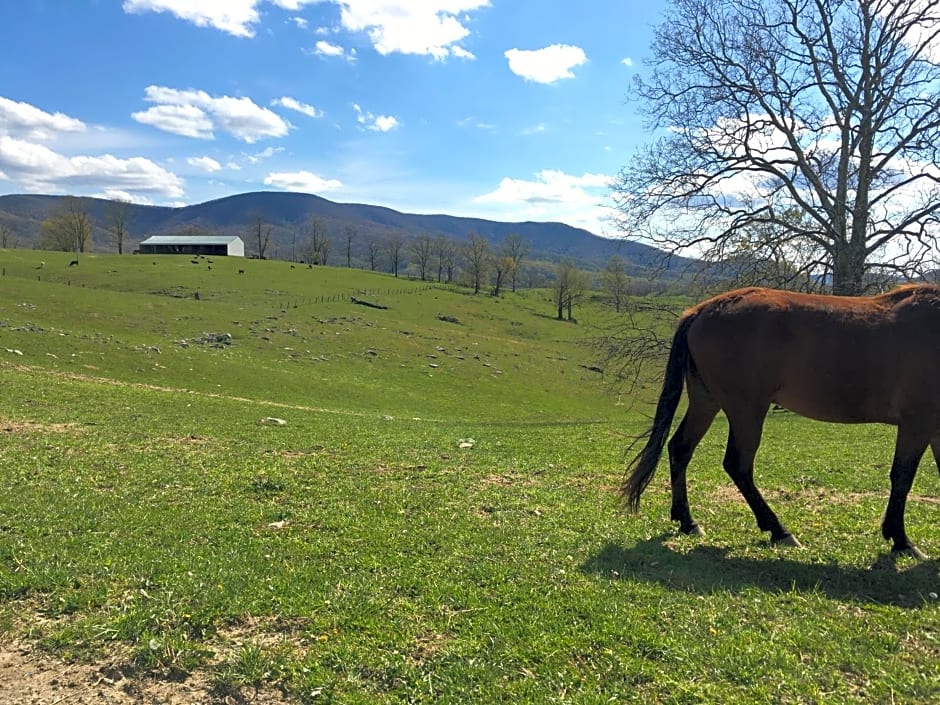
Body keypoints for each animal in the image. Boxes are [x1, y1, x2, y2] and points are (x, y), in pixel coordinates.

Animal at [624, 284, 940, 560]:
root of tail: (702, 310)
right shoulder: (917, 422)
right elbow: (902, 477)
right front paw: (901, 540)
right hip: (747, 410)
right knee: (737, 465)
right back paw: (779, 530)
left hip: (706, 401)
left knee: (680, 449)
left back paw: (688, 521)